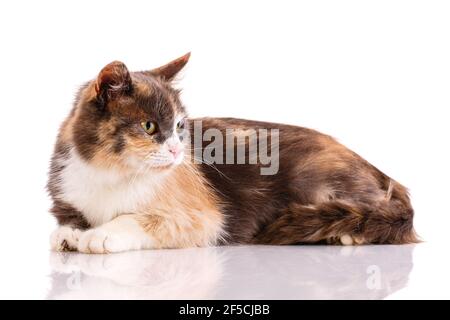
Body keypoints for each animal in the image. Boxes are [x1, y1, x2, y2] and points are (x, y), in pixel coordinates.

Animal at [48, 53, 418, 252]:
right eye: (149, 126)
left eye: (180, 126)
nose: (176, 150)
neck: (111, 171)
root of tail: (382, 173)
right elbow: (68, 220)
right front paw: (70, 233)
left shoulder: (204, 216)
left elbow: (137, 218)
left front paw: (101, 235)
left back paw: (348, 234)